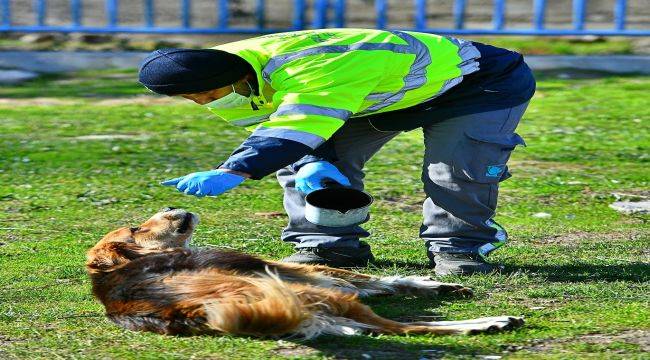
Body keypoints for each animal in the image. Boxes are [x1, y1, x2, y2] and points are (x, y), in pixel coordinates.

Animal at [85, 208, 520, 338]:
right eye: (136, 229)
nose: (175, 205)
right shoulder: (277, 268)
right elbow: (356, 276)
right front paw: (432, 283)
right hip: (306, 294)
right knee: (404, 328)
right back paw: (490, 322)